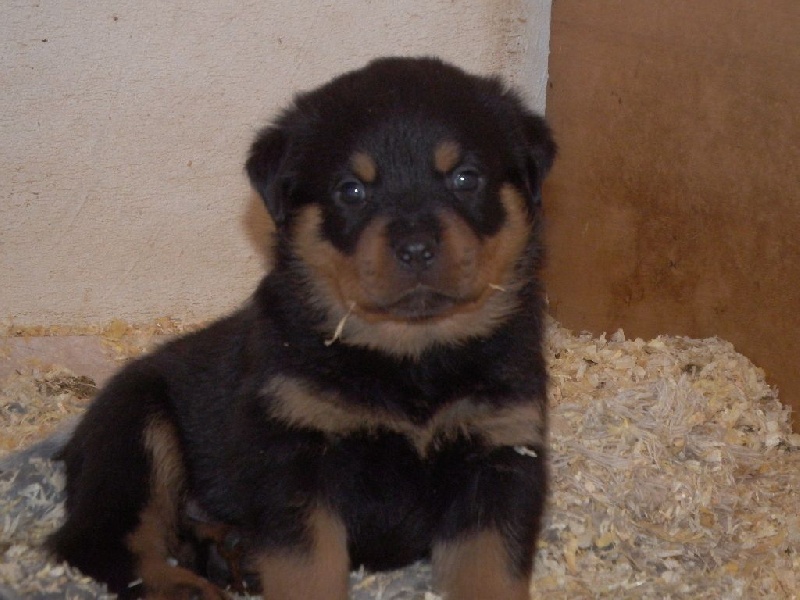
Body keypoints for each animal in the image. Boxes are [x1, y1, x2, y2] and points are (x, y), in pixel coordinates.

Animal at [45, 57, 556, 600]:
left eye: (465, 178)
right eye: (351, 190)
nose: (416, 247)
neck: (412, 356)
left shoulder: (500, 453)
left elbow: (488, 571)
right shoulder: (293, 456)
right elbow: (308, 570)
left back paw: (228, 555)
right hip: (135, 431)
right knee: (98, 539)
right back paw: (183, 586)